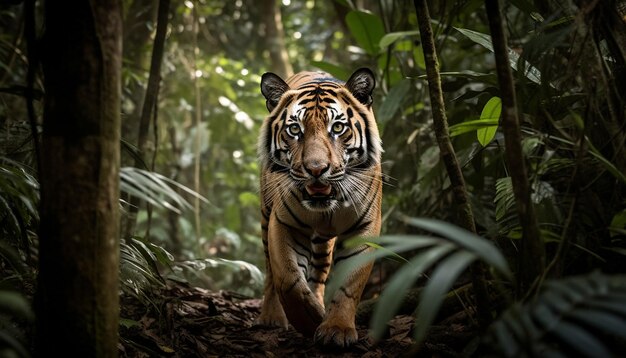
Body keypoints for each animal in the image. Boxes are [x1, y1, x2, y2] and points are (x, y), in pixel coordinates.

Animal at [255, 68, 382, 346]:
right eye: (294, 129)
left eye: (338, 127)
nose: (316, 169)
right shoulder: (284, 222)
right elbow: (288, 279)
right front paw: (308, 321)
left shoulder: (364, 227)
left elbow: (349, 285)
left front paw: (336, 328)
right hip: (266, 213)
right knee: (270, 269)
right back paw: (271, 317)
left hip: (323, 242)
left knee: (319, 274)